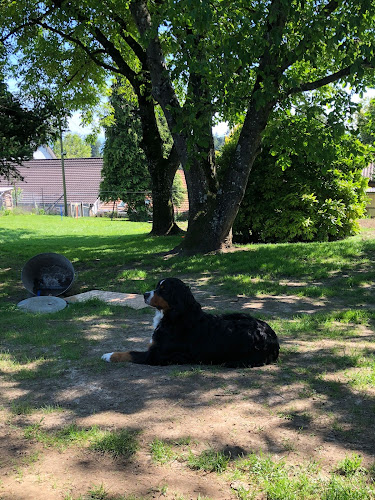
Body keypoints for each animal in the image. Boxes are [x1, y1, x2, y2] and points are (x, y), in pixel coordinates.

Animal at [101, 278, 280, 368]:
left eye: (164, 290)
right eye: (156, 286)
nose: (145, 294)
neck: (175, 316)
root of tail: (272, 337)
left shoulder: (156, 355)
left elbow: (129, 353)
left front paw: (109, 355)